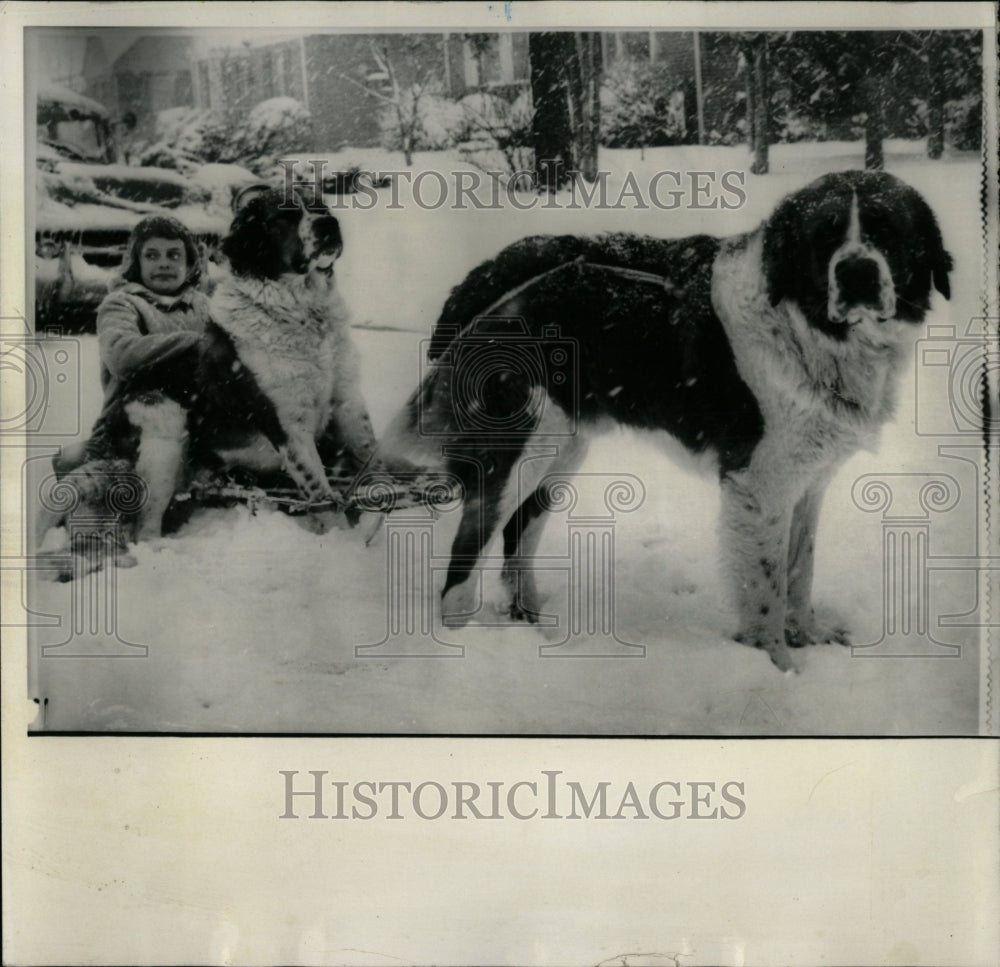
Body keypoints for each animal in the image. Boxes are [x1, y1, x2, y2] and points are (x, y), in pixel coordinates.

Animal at [382, 170, 952, 672]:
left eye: (885, 230)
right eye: (826, 234)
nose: (857, 272)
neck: (806, 327)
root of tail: (483, 278)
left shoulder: (806, 478)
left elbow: (799, 569)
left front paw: (807, 636)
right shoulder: (760, 483)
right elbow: (767, 589)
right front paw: (779, 671)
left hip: (562, 447)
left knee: (517, 534)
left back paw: (533, 625)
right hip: (520, 445)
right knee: (463, 564)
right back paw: (464, 647)